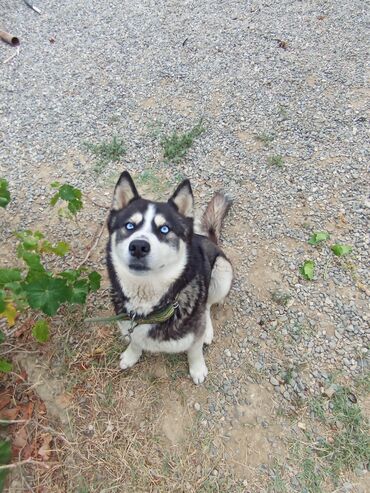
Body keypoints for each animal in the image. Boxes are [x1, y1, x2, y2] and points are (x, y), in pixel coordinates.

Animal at [107, 171, 233, 382]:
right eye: (130, 225)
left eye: (164, 229)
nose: (138, 246)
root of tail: (209, 239)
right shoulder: (127, 321)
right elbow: (135, 340)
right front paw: (131, 355)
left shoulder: (194, 330)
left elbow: (195, 348)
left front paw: (197, 368)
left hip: (222, 272)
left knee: (207, 304)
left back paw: (208, 330)